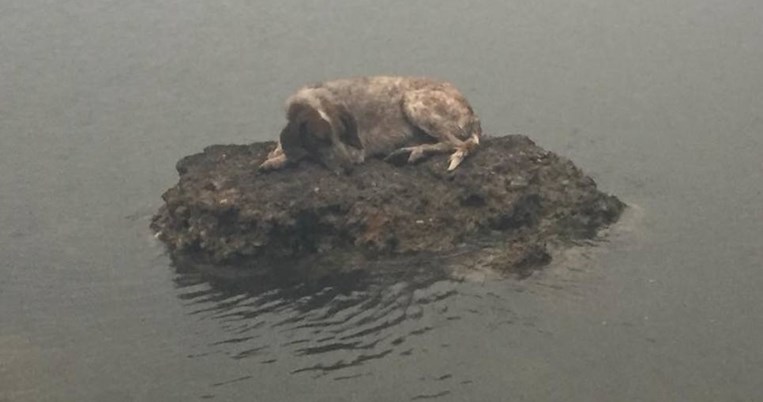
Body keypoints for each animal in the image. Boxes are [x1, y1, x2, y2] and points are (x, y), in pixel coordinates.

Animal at [260, 76, 480, 174]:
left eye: (342, 135)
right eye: (320, 139)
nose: (348, 168)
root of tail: (473, 115)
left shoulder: (356, 151)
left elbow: (304, 154)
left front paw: (277, 160)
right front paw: (276, 153)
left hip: (412, 101)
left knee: (456, 143)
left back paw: (413, 151)